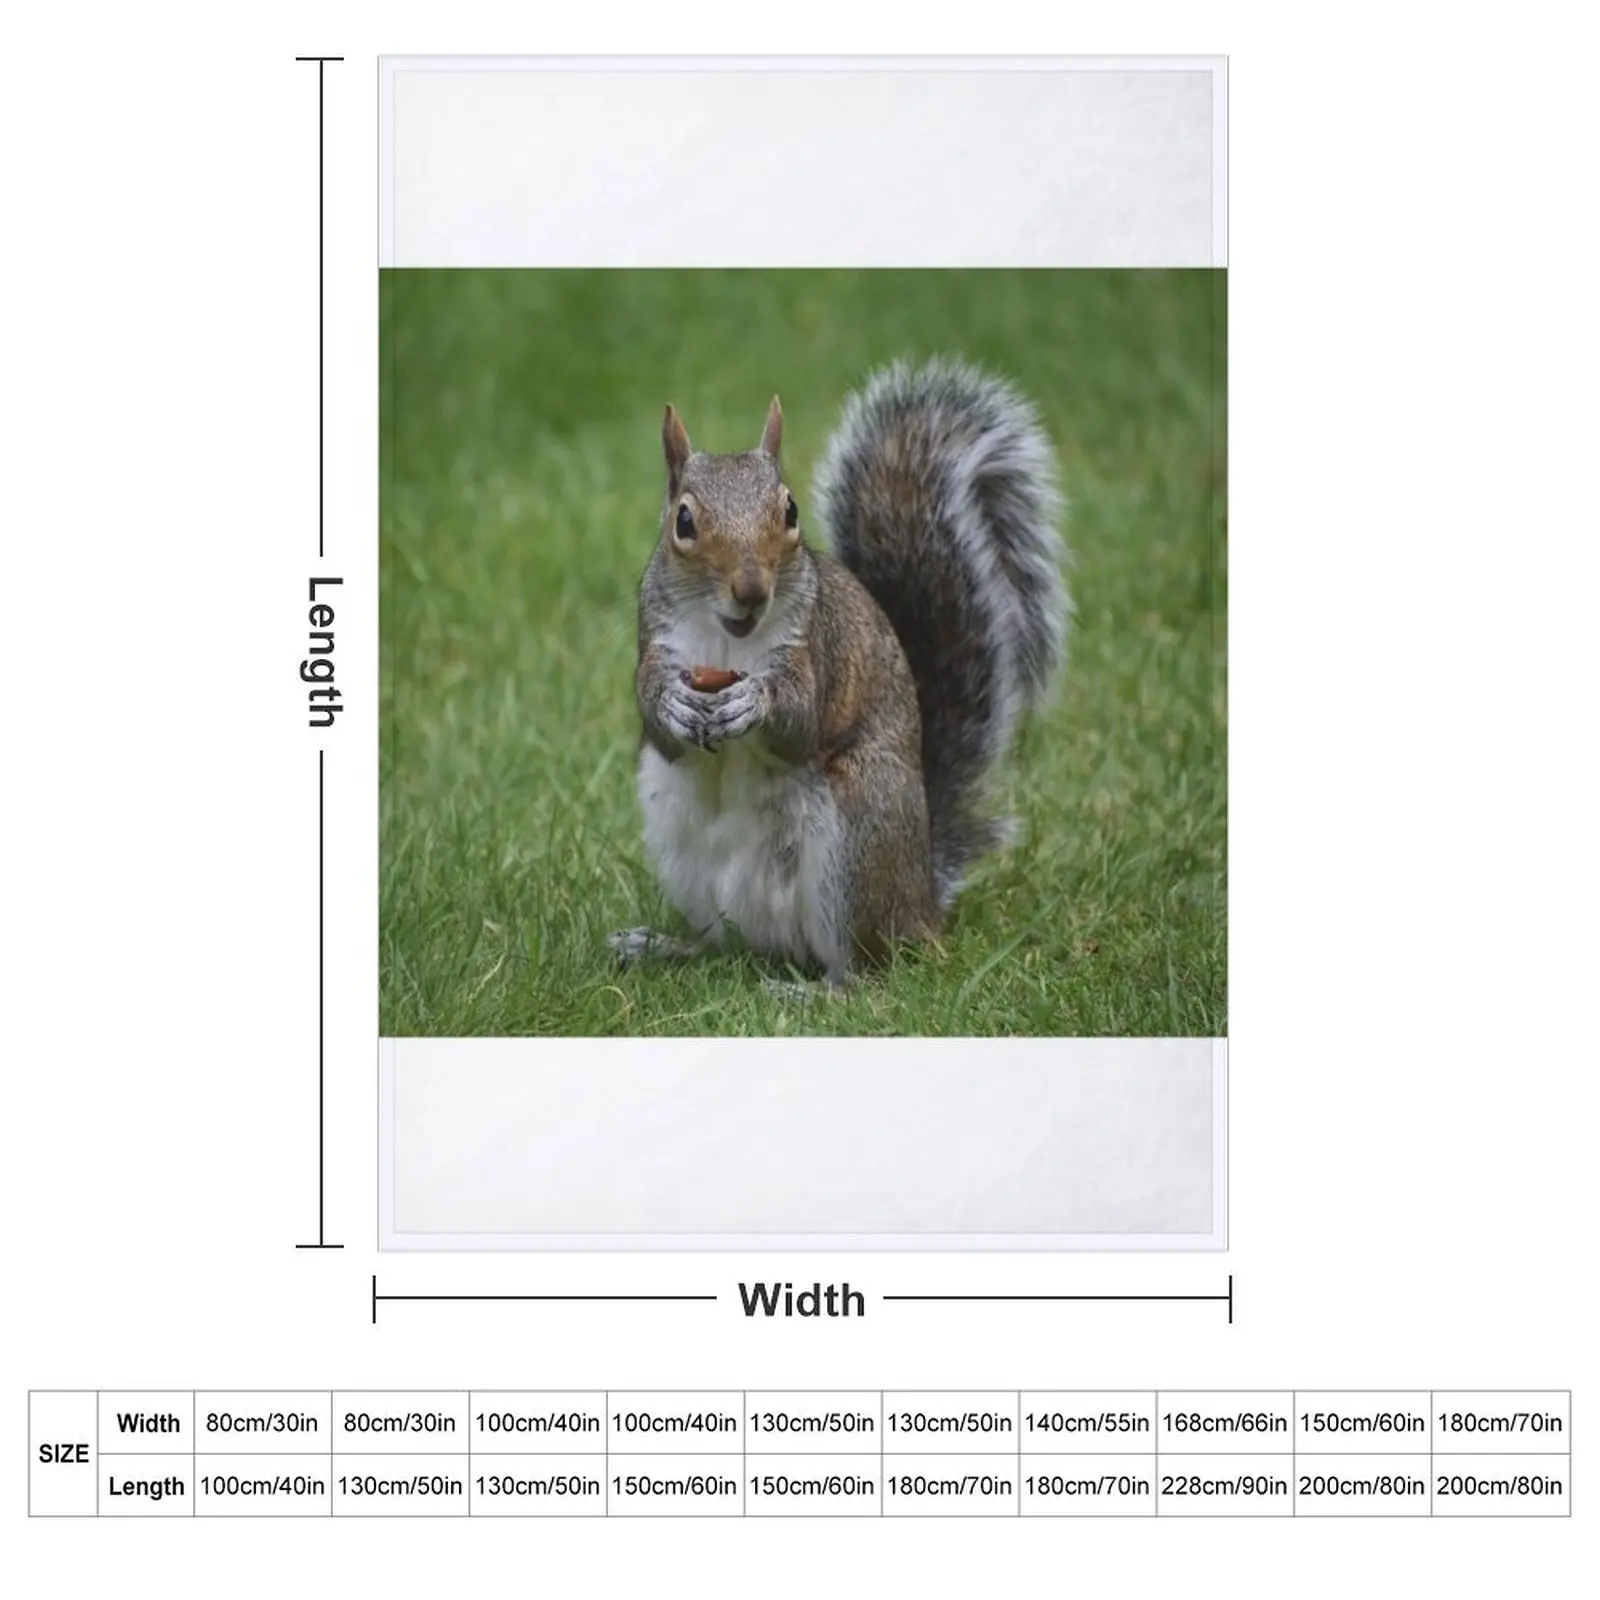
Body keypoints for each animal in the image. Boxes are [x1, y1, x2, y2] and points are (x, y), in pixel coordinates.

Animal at [608, 357, 1068, 988]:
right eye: (683, 521)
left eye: (790, 511)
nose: (751, 590)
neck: (728, 640)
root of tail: (921, 902)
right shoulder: (655, 642)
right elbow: (657, 720)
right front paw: (673, 705)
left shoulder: (816, 650)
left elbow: (800, 719)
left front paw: (755, 702)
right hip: (679, 839)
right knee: (723, 942)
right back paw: (664, 946)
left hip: (856, 838)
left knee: (867, 973)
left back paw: (811, 992)